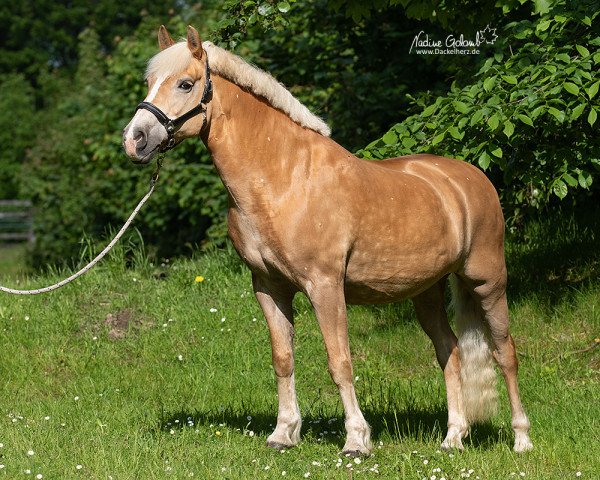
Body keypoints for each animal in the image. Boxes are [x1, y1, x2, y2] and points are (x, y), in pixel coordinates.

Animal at [122, 24, 536, 456]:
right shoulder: (269, 287)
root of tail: (471, 178)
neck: (284, 178)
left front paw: (356, 440)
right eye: (149, 83)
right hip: (426, 292)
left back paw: (521, 438)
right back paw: (453, 437)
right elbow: (283, 359)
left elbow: (340, 362)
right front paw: (283, 433)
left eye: (185, 84)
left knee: (505, 353)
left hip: (488, 282)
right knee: (449, 351)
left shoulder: (325, 286)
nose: (134, 139)